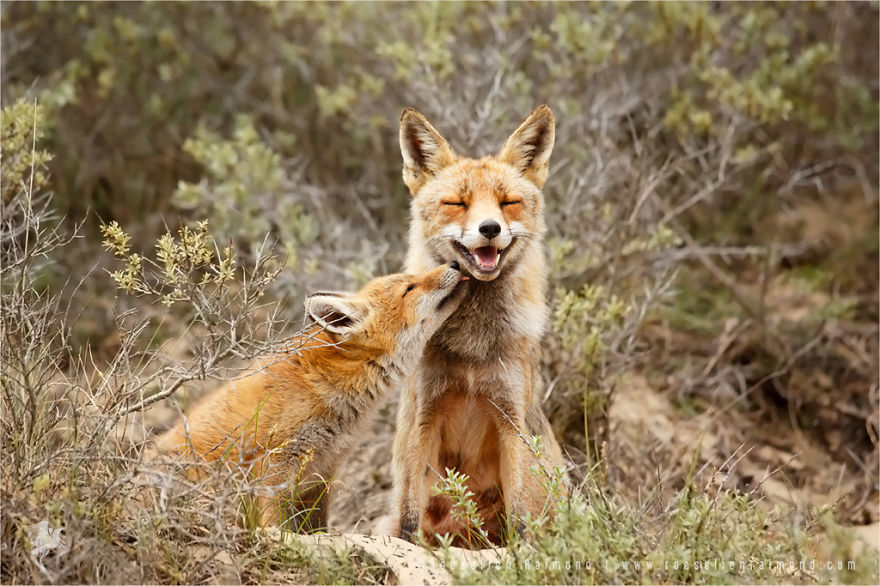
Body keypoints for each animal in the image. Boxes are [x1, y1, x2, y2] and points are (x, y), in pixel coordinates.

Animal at [153, 262, 468, 532]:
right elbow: (275, 523)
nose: (455, 263)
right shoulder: (277, 462)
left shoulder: (323, 471)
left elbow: (317, 526)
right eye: (409, 288)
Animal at [387, 105, 567, 546]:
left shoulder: (511, 419)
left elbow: (520, 516)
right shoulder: (424, 415)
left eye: (508, 203)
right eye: (457, 203)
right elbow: (409, 519)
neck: (472, 345)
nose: (490, 229)